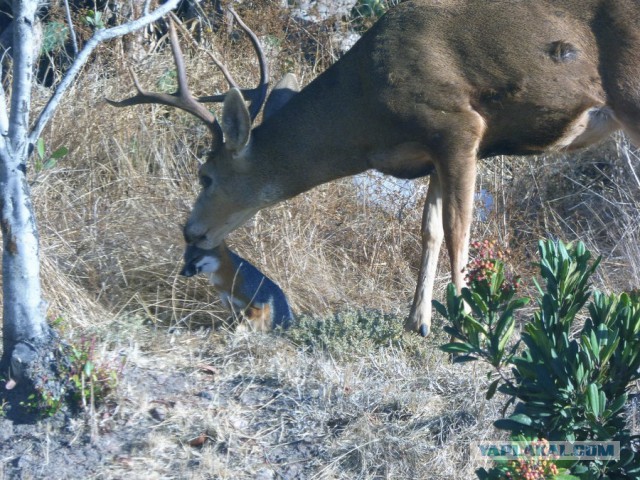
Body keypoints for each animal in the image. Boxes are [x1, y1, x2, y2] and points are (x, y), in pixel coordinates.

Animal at [110, 0, 640, 338]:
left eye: (206, 175)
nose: (190, 231)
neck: (366, 109)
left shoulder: (458, 125)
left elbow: (460, 231)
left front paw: (468, 323)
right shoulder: (430, 153)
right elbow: (429, 230)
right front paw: (417, 322)